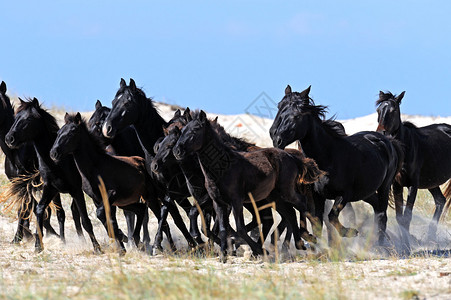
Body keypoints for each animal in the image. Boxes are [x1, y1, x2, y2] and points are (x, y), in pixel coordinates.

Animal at [5, 98, 102, 253]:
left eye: (29, 119)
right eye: (16, 117)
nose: (9, 139)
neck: (58, 162)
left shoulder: (76, 190)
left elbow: (86, 220)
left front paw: (97, 248)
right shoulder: (50, 188)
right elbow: (40, 210)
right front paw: (38, 245)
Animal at [376, 91, 451, 251]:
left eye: (393, 110)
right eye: (378, 110)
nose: (381, 132)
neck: (405, 148)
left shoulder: (412, 185)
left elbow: (407, 217)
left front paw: (407, 246)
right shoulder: (397, 185)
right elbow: (399, 217)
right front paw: (404, 245)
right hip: (431, 181)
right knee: (440, 200)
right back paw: (431, 237)